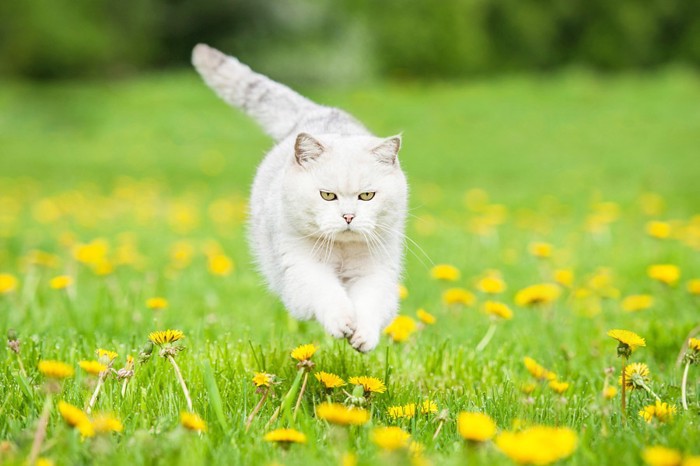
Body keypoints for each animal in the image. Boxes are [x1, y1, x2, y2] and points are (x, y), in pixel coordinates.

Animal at [193, 43, 410, 352]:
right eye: (327, 195)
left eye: (366, 196)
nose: (348, 216)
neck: (341, 250)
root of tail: (318, 111)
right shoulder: (301, 269)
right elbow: (327, 292)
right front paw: (342, 322)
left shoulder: (376, 272)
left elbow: (370, 303)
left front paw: (362, 336)